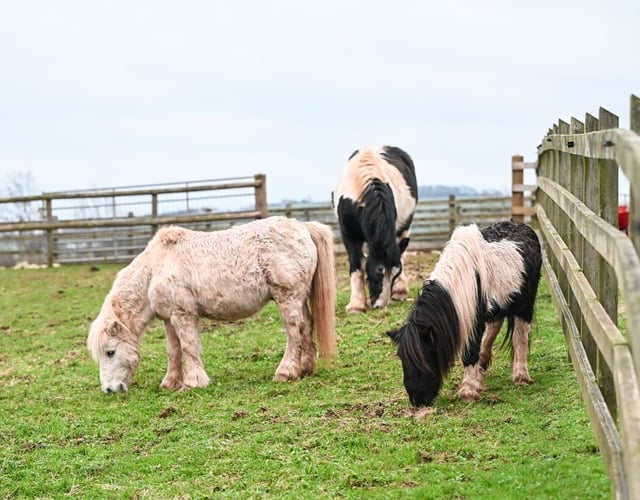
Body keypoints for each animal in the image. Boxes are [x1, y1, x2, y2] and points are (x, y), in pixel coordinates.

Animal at [87, 216, 337, 394]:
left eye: (110, 352)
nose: (109, 390)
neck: (156, 268)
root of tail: (303, 227)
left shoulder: (183, 315)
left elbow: (189, 347)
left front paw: (193, 383)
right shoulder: (169, 319)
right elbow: (173, 351)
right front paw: (169, 383)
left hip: (288, 297)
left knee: (295, 331)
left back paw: (286, 372)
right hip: (299, 297)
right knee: (307, 327)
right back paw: (305, 369)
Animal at [333, 145, 418, 313]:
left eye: (395, 273)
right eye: (380, 270)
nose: (380, 305)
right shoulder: (348, 235)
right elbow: (357, 265)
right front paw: (356, 305)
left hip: (404, 228)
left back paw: (400, 291)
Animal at [387, 220, 542, 407]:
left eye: (425, 358)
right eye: (401, 358)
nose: (417, 400)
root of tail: (522, 226)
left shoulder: (474, 320)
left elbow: (470, 351)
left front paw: (468, 390)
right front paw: (476, 380)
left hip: (525, 304)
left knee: (520, 337)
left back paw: (521, 376)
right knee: (495, 326)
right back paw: (483, 363)